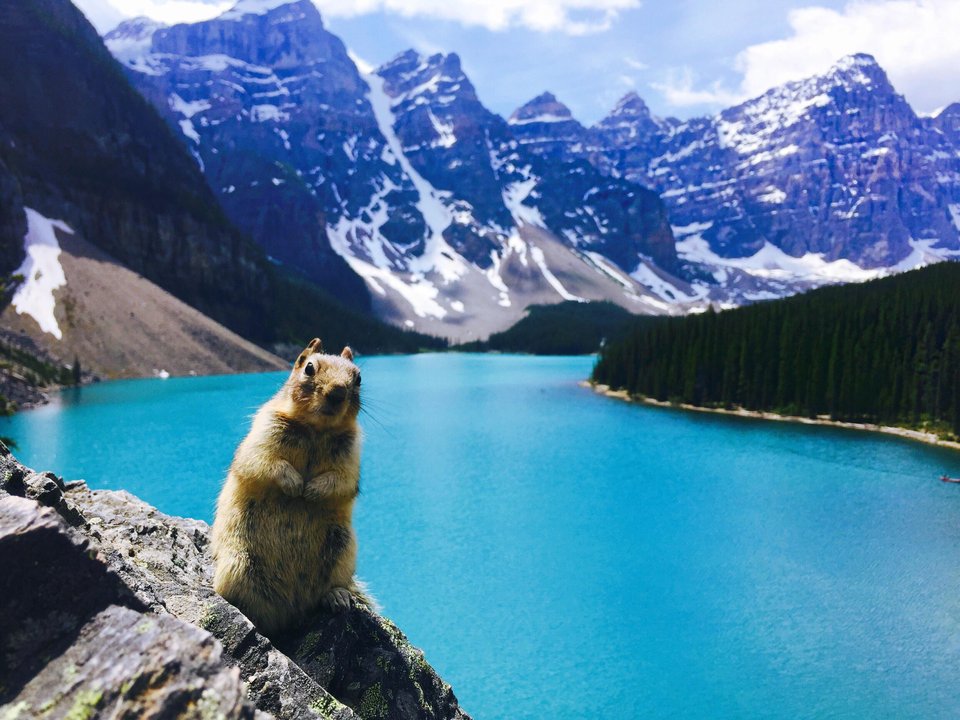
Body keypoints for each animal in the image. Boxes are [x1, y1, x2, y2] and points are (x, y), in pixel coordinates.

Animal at [213, 338, 364, 636]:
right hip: (237, 565)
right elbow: (264, 462)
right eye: (309, 367)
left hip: (342, 551)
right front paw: (296, 485)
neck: (316, 430)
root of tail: (291, 612)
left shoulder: (351, 456)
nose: (337, 392)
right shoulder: (264, 432)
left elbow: (342, 480)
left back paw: (337, 596)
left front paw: (312, 490)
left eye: (359, 378)